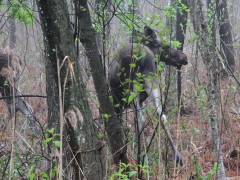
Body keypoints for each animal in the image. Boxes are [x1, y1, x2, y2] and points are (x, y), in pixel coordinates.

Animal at [108, 26, 188, 165]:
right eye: (167, 46)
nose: (185, 57)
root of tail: (144, 57)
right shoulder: (141, 99)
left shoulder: (118, 101)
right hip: (151, 81)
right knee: (161, 114)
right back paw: (177, 156)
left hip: (131, 87)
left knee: (141, 118)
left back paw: (140, 157)